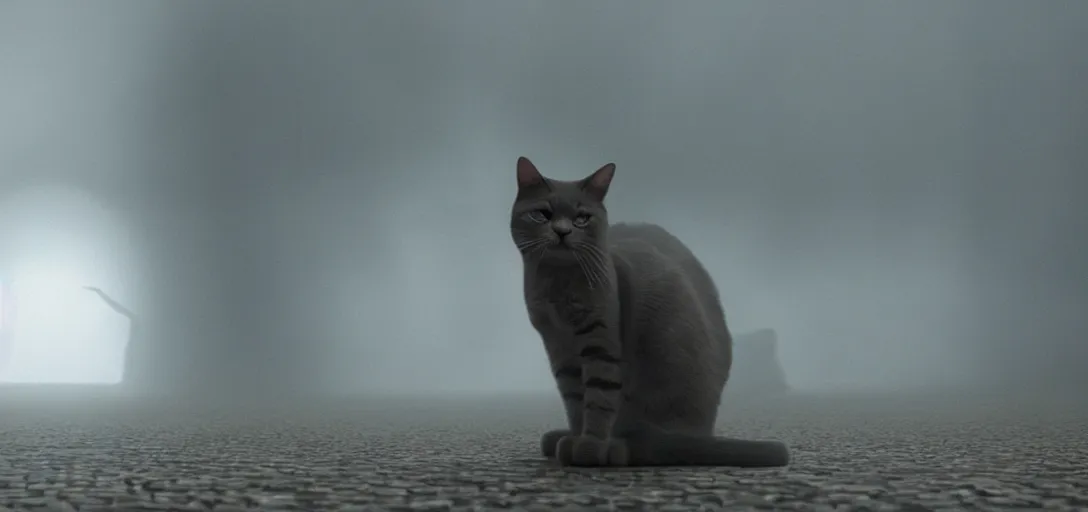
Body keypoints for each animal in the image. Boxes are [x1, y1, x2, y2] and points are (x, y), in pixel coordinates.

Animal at [509, 157, 792, 469]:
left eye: (582, 218)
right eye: (542, 215)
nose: (562, 231)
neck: (556, 287)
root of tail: (700, 435)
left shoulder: (601, 339)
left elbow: (599, 396)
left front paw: (590, 446)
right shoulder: (558, 346)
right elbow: (574, 399)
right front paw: (574, 437)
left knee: (641, 444)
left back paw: (614, 447)